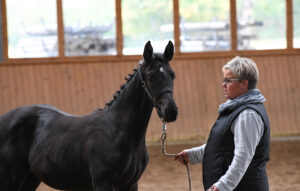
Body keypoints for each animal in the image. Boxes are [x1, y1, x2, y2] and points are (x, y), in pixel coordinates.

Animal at [0, 41, 178, 190]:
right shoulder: (103, 184)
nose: (171, 111)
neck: (118, 131)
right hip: (10, 180)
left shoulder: (131, 184)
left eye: (172, 75)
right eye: (151, 76)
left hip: (30, 179)